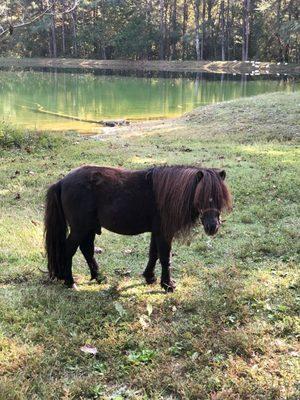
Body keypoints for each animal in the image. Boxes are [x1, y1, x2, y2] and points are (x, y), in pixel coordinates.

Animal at [44, 164, 232, 292]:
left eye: (220, 197)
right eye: (201, 197)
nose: (212, 227)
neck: (168, 193)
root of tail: (62, 181)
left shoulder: (157, 232)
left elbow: (154, 254)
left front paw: (150, 277)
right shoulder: (164, 233)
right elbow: (165, 257)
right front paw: (168, 285)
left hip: (88, 228)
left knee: (87, 249)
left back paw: (98, 277)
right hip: (80, 229)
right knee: (69, 250)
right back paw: (70, 281)